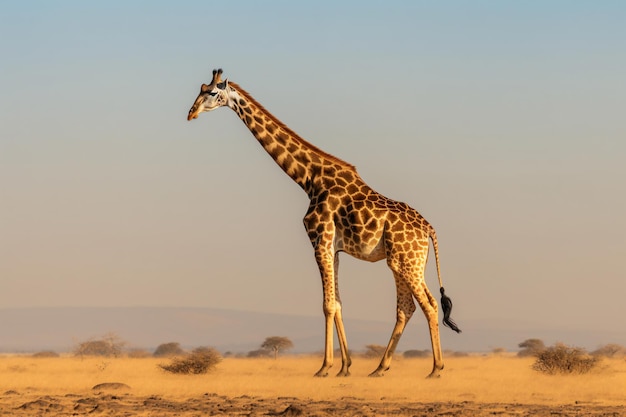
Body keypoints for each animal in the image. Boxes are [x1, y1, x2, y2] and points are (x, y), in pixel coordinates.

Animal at [186, 67, 458, 376]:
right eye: (200, 89)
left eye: (212, 92)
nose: (191, 113)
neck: (308, 179)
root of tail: (429, 230)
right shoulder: (333, 247)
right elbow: (337, 303)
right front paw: (345, 366)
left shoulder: (320, 240)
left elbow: (327, 305)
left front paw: (325, 367)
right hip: (405, 261)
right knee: (408, 307)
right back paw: (380, 368)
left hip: (406, 262)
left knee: (429, 305)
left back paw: (435, 369)